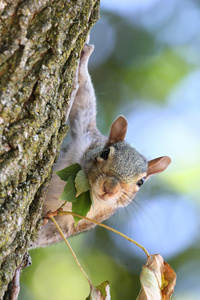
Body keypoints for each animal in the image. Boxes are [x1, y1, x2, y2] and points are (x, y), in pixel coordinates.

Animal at [32, 42, 171, 248]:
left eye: (141, 182)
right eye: (105, 153)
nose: (110, 188)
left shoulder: (80, 222)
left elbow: (48, 235)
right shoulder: (87, 137)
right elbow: (83, 105)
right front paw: (84, 60)